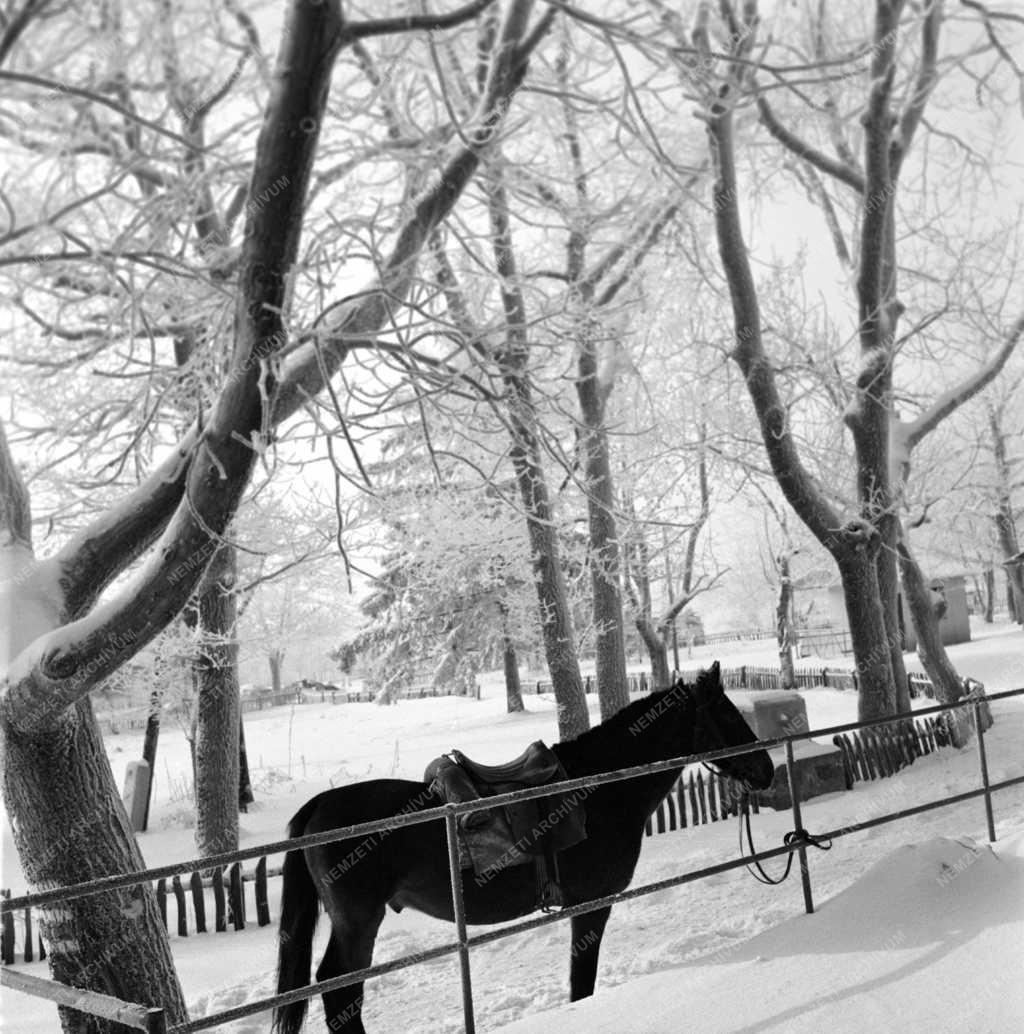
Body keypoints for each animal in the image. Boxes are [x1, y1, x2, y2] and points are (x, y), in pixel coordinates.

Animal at [273, 661, 777, 1034]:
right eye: (728, 715)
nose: (766, 770)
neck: (600, 789)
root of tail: (316, 808)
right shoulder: (591, 906)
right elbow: (582, 981)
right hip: (358, 923)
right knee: (339, 990)